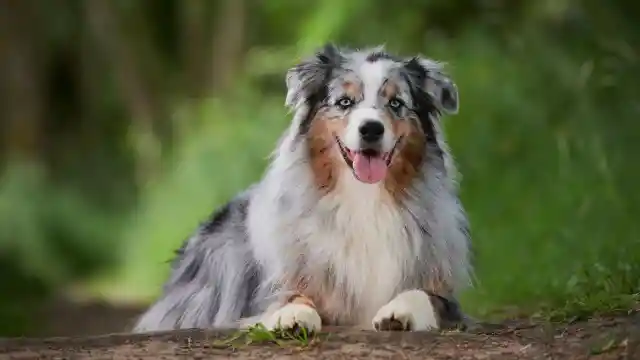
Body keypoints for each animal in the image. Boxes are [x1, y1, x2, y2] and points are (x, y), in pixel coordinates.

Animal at [134, 45, 476, 334]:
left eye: (396, 103)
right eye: (344, 102)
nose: (371, 129)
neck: (363, 198)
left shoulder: (446, 294)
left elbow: (424, 294)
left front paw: (398, 312)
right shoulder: (274, 286)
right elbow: (290, 296)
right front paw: (293, 315)